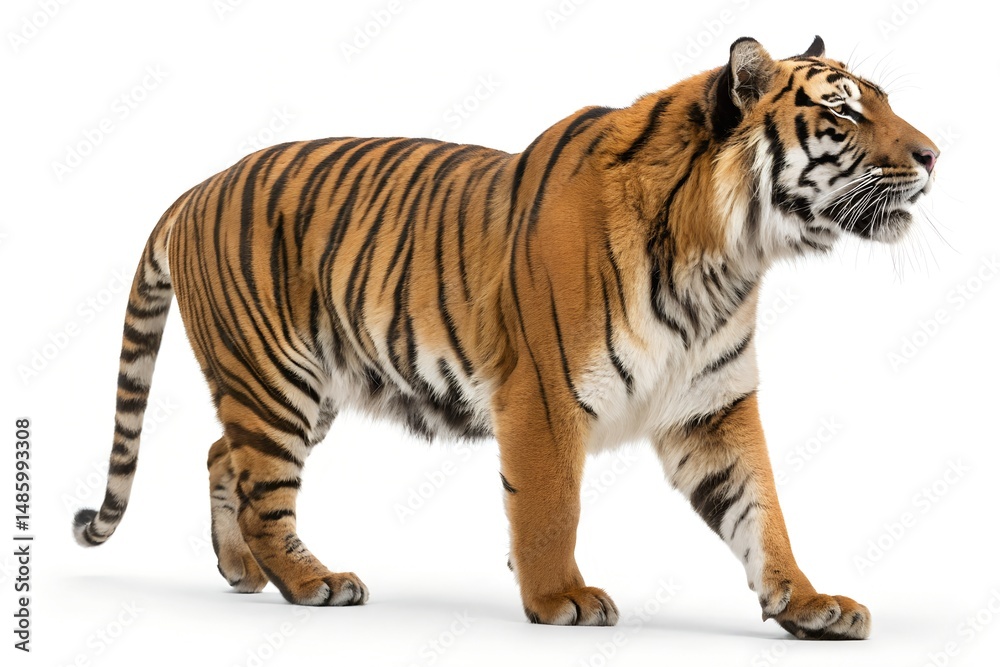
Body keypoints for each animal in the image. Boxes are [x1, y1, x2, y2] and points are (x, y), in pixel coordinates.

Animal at [74, 36, 937, 639]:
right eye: (846, 113)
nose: (934, 155)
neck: (729, 256)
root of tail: (193, 189)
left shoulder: (711, 407)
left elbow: (762, 509)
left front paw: (810, 603)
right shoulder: (544, 395)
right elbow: (550, 506)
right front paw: (560, 598)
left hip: (309, 386)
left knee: (222, 455)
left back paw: (240, 570)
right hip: (275, 378)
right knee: (262, 490)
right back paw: (310, 580)